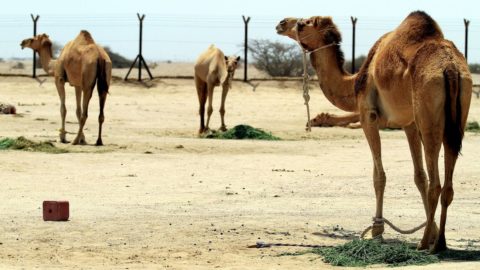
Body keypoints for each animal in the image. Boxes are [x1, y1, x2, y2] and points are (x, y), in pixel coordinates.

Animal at [276, 10, 470, 252]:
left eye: (304, 23)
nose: (282, 23)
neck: (355, 82)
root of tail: (450, 69)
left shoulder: (368, 116)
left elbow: (379, 176)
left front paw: (376, 231)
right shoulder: (409, 123)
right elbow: (419, 177)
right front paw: (432, 230)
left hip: (429, 116)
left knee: (436, 182)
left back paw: (424, 244)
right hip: (457, 118)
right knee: (447, 183)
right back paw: (439, 242)